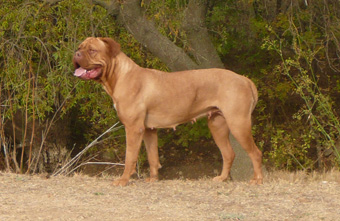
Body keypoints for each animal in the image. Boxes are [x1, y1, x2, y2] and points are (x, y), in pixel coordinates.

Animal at [72, 37, 262, 186]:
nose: (76, 54)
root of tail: (244, 79)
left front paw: (123, 180)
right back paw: (221, 178)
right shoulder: (148, 130)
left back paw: (257, 180)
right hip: (217, 125)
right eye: (80, 47)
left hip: (238, 123)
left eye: (92, 50)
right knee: (228, 153)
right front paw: (153, 178)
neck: (119, 76)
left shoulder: (133, 128)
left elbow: (129, 157)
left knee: (255, 153)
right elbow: (153, 157)